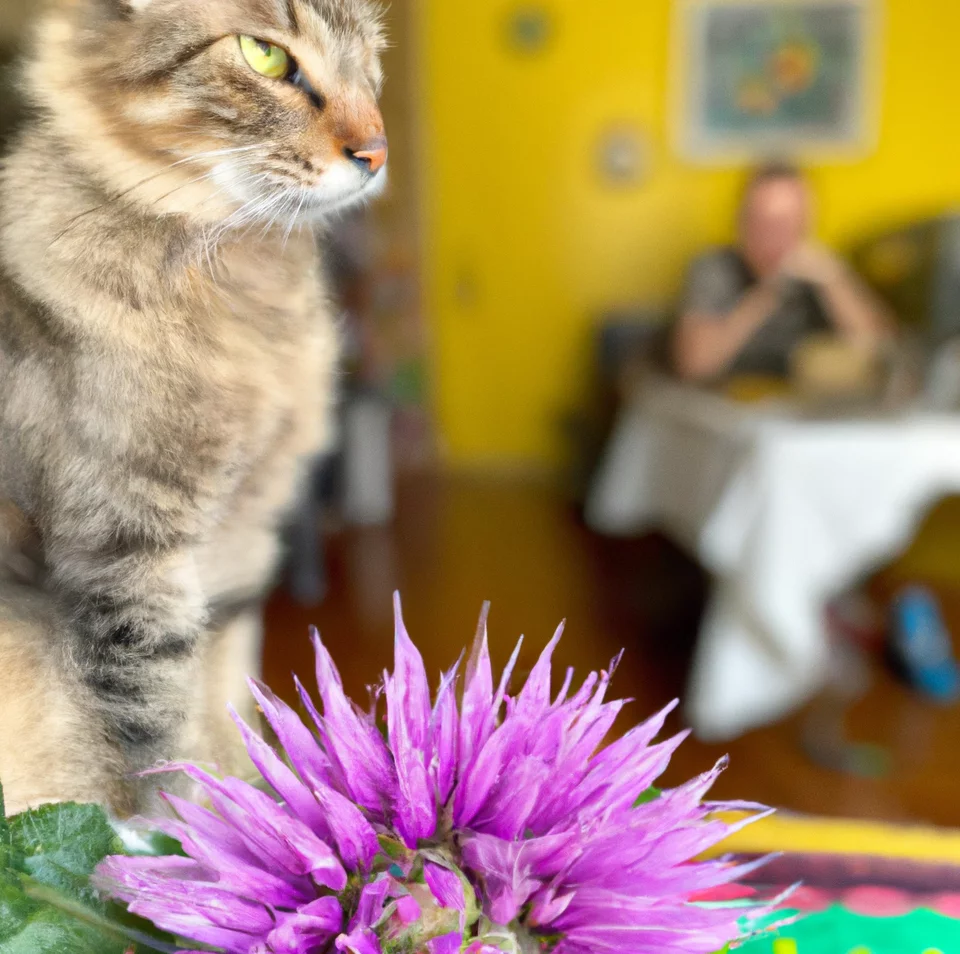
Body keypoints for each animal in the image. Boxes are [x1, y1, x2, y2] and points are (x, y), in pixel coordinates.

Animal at [0, 0, 386, 816]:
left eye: (371, 63)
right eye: (265, 57)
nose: (378, 150)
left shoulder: (240, 553)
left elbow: (233, 714)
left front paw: (266, 809)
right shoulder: (129, 559)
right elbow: (165, 752)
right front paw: (189, 838)